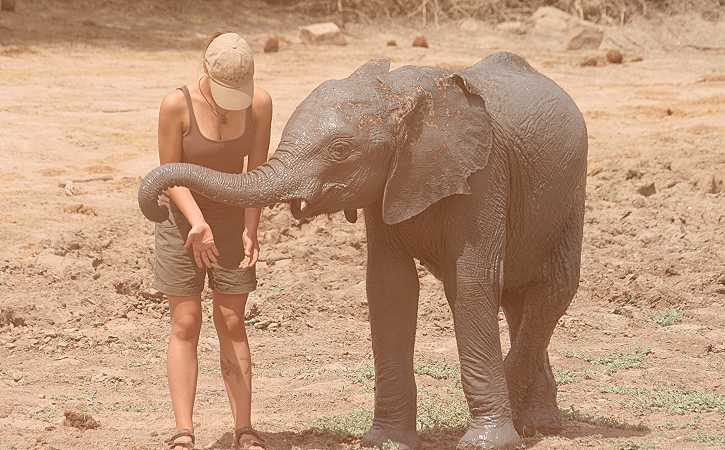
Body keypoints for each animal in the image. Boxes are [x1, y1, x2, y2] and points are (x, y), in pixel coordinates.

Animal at [139, 51, 584, 446]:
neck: (397, 96)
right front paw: (385, 440)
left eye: (339, 151)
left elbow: (474, 282)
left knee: (550, 289)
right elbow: (390, 287)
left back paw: (530, 420)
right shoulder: (387, 184)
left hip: (570, 189)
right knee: (516, 299)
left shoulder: (484, 174)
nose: (159, 207)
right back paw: (538, 423)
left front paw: (484, 442)